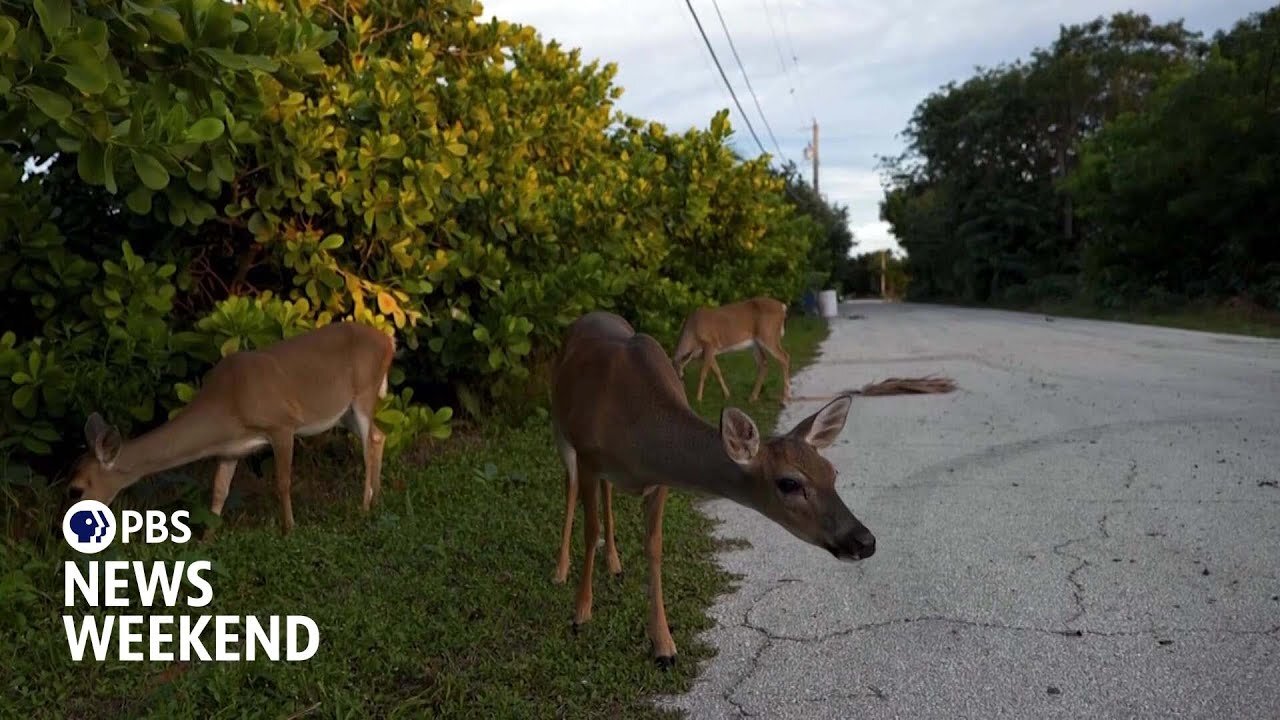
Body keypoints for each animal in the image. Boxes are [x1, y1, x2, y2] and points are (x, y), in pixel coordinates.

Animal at [64, 319, 391, 532]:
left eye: (76, 490)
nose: (61, 530)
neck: (227, 403)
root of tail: (388, 341)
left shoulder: (281, 424)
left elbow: (282, 482)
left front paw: (290, 529)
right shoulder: (230, 449)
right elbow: (218, 492)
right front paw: (207, 540)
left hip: (364, 391)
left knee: (369, 443)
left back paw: (364, 508)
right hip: (344, 411)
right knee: (379, 435)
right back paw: (376, 501)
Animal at [545, 311, 875, 666]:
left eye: (832, 472)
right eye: (789, 483)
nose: (865, 540)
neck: (638, 438)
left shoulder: (659, 481)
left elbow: (654, 546)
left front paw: (664, 645)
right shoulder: (588, 455)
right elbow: (589, 530)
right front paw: (580, 613)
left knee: (606, 491)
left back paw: (615, 564)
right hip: (561, 429)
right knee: (570, 486)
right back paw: (561, 570)